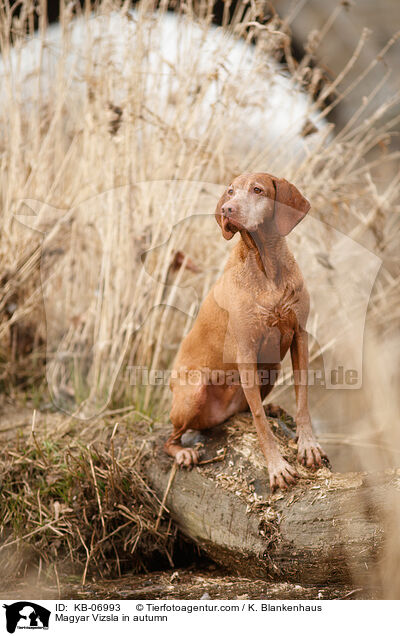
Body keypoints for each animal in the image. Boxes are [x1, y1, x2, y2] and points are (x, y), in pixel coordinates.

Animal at [164, 174, 326, 492]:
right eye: (230, 191)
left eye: (258, 190)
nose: (226, 209)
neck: (266, 265)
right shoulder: (247, 350)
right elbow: (260, 422)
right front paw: (277, 467)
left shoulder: (299, 337)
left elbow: (302, 399)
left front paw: (308, 444)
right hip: (193, 392)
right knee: (168, 439)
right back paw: (183, 452)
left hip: (272, 368)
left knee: (248, 408)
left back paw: (272, 407)